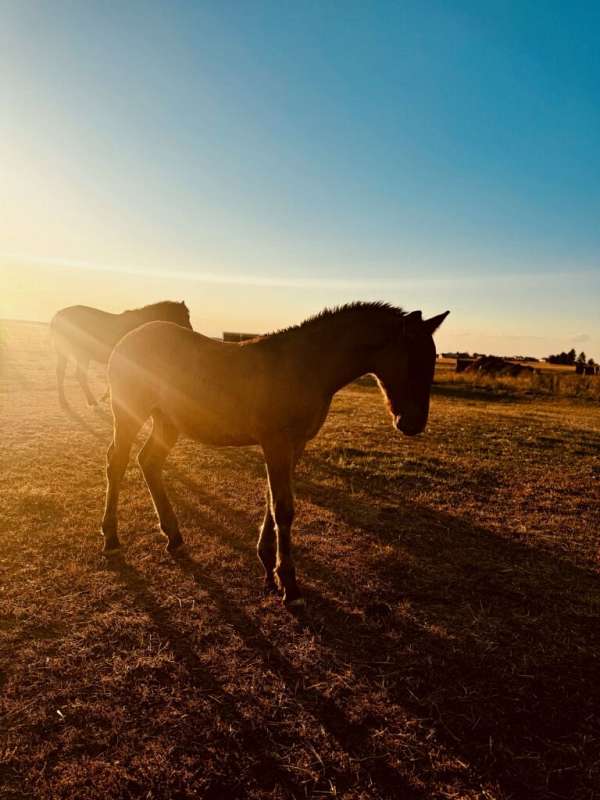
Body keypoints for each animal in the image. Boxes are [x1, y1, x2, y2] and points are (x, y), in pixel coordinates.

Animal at [51, 304, 193, 410]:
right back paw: (88, 401)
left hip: (66, 354)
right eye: (185, 316)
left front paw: (107, 396)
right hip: (81, 355)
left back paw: (66, 401)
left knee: (61, 373)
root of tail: (58, 316)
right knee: (78, 375)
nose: (191, 331)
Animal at [101, 304, 448, 608]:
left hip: (168, 421)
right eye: (412, 361)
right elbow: (283, 508)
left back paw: (173, 536)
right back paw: (112, 539)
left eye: (432, 361)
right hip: (129, 414)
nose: (413, 423)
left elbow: (273, 500)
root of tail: (125, 341)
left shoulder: (295, 445)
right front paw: (290, 586)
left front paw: (268, 565)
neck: (305, 365)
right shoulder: (276, 443)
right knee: (116, 463)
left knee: (149, 462)